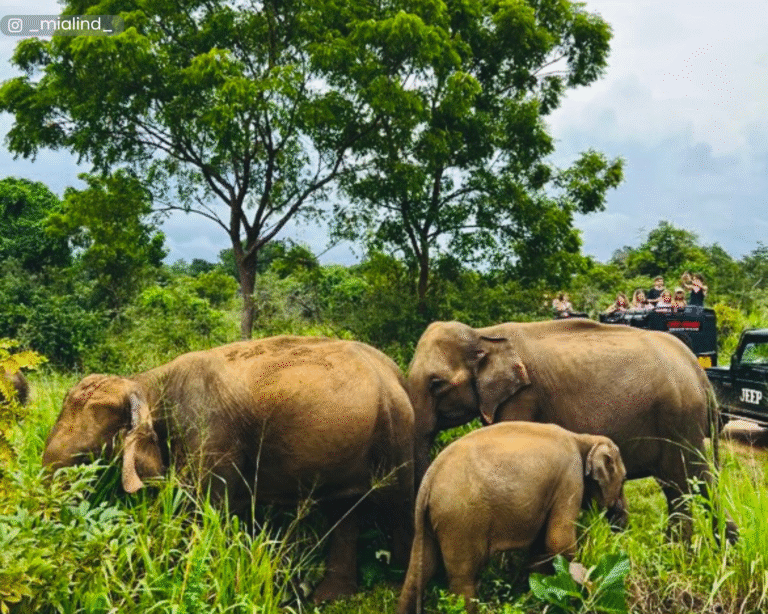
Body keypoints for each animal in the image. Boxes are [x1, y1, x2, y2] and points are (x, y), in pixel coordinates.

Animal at [42, 335, 415, 602]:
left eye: (85, 457)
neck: (146, 382)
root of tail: (396, 372)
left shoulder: (210, 436)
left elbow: (200, 510)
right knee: (344, 508)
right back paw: (329, 598)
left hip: (396, 432)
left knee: (397, 503)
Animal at [397, 422, 626, 614]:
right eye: (624, 478)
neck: (583, 438)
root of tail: (430, 479)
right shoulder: (570, 476)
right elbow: (558, 541)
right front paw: (587, 584)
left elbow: (540, 548)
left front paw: (537, 595)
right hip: (460, 520)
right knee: (463, 578)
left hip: (429, 520)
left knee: (419, 571)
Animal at [407, 319, 738, 542]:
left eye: (436, 384)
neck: (484, 333)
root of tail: (698, 370)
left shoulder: (524, 398)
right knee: (682, 485)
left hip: (679, 420)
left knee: (688, 484)